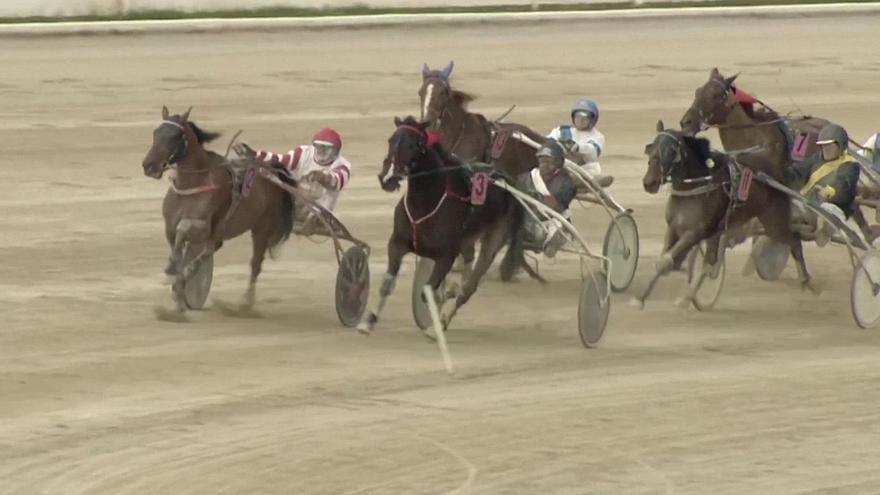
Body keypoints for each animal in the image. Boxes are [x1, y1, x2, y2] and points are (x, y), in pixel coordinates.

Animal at [143, 105, 296, 322]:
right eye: (156, 132)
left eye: (175, 136)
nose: (149, 166)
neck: (192, 184)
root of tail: (270, 170)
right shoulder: (170, 227)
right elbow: (177, 247)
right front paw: (178, 294)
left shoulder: (203, 226)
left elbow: (184, 230)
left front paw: (173, 274)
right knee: (211, 249)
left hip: (261, 228)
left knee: (254, 265)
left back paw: (245, 306)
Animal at [356, 116, 524, 334]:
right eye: (391, 140)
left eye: (414, 144)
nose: (388, 178)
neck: (425, 202)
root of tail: (507, 180)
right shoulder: (397, 243)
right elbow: (387, 284)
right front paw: (369, 320)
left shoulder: (445, 256)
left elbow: (428, 292)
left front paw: (433, 320)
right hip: (468, 239)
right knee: (467, 267)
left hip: (494, 240)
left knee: (469, 287)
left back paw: (442, 321)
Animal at [628, 120, 816, 306]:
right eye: (650, 148)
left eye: (671, 151)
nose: (649, 182)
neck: (695, 186)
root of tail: (776, 171)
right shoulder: (675, 227)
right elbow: (664, 260)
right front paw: (641, 298)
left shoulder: (696, 232)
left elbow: (666, 261)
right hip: (723, 231)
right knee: (709, 263)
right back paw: (689, 296)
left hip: (773, 222)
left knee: (794, 241)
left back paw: (807, 281)